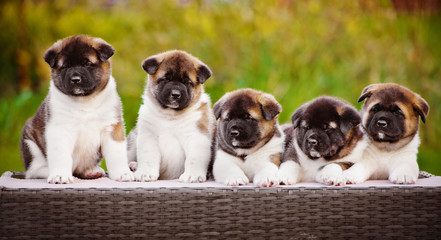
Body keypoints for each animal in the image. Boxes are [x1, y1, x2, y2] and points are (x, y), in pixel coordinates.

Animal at [20, 34, 134, 183]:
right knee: (34, 170)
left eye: (87, 64)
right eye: (65, 67)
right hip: (30, 144)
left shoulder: (112, 128)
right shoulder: (60, 130)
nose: (75, 79)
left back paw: (90, 171)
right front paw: (60, 175)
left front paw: (122, 173)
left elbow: (116, 154)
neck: (85, 100)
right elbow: (61, 155)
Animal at [126, 50, 214, 182]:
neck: (170, 116)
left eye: (187, 82)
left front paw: (192, 175)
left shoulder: (197, 137)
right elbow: (148, 158)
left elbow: (194, 159)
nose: (175, 94)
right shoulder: (148, 137)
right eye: (166, 79)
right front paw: (145, 173)